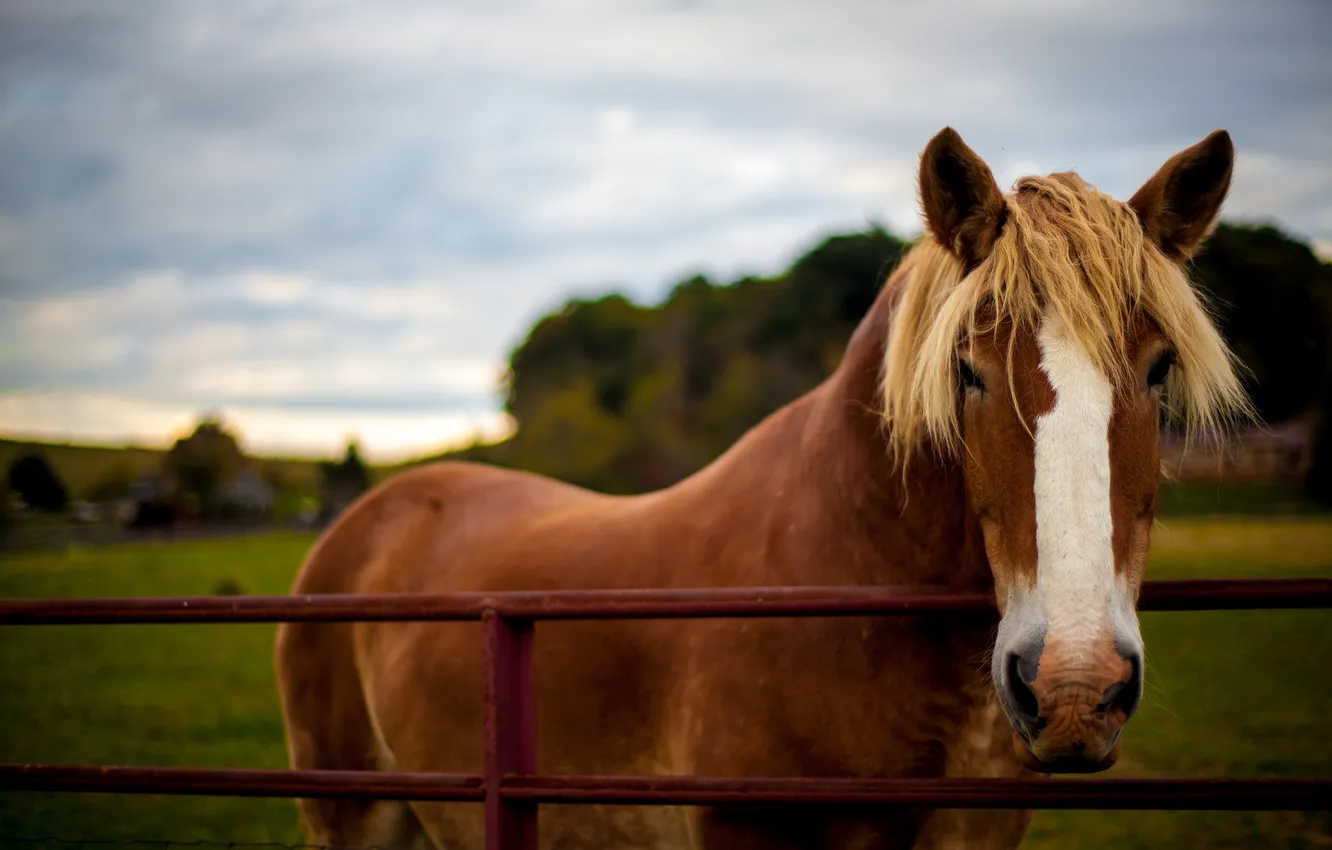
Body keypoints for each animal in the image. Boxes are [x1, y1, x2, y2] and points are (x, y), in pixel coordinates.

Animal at [275, 127, 1249, 849]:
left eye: (1158, 368)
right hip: (354, 817)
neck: (845, 581)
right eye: (967, 370)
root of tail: (367, 519)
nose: (1075, 688)